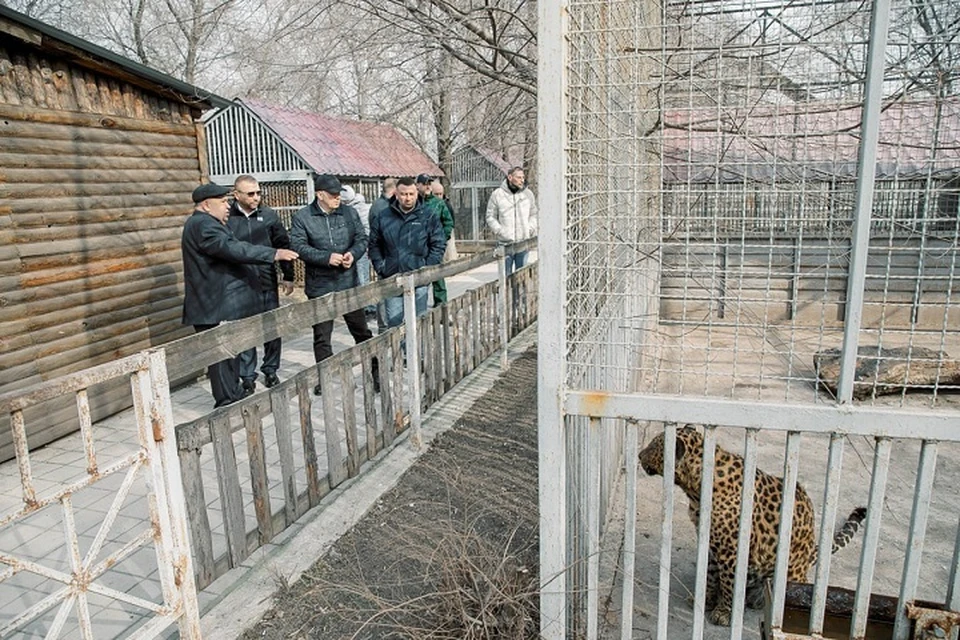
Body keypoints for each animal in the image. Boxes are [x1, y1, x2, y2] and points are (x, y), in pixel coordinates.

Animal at [636, 424, 872, 624]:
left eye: (653, 446)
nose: (639, 454)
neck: (696, 490)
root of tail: (808, 558)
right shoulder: (712, 544)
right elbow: (711, 575)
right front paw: (706, 599)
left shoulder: (732, 550)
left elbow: (729, 582)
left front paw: (723, 613)